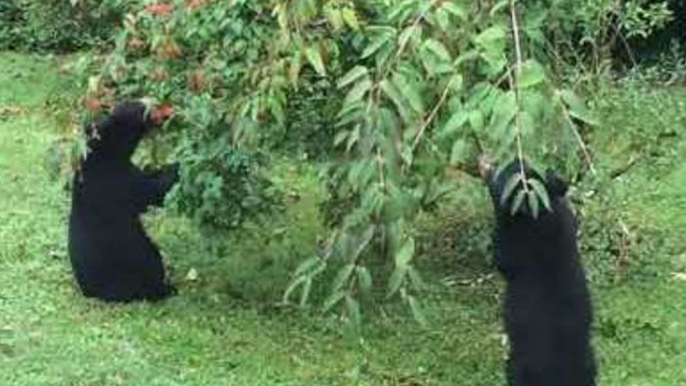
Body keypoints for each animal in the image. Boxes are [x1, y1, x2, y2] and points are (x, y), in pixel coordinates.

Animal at [68, 101, 177, 304]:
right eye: (137, 109)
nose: (153, 107)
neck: (101, 153)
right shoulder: (118, 180)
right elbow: (152, 192)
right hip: (135, 259)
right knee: (152, 267)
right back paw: (167, 289)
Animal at [482, 156, 600, 386]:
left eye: (509, 171)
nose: (518, 158)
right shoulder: (565, 219)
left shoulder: (517, 243)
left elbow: (502, 255)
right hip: (588, 360)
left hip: (518, 364)